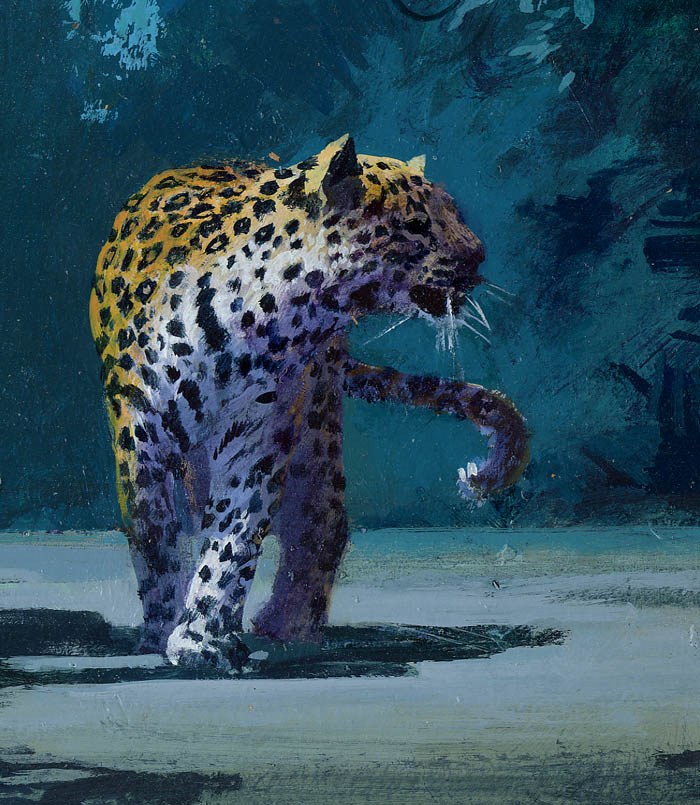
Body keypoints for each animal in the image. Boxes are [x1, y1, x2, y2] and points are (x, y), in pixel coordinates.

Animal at [89, 135, 529, 672]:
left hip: (315, 422)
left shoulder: (260, 433)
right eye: (416, 224)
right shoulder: (139, 433)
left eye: (453, 212)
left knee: (322, 518)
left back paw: (290, 626)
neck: (265, 316)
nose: (479, 257)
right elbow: (155, 538)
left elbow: (233, 537)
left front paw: (201, 638)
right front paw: (161, 629)